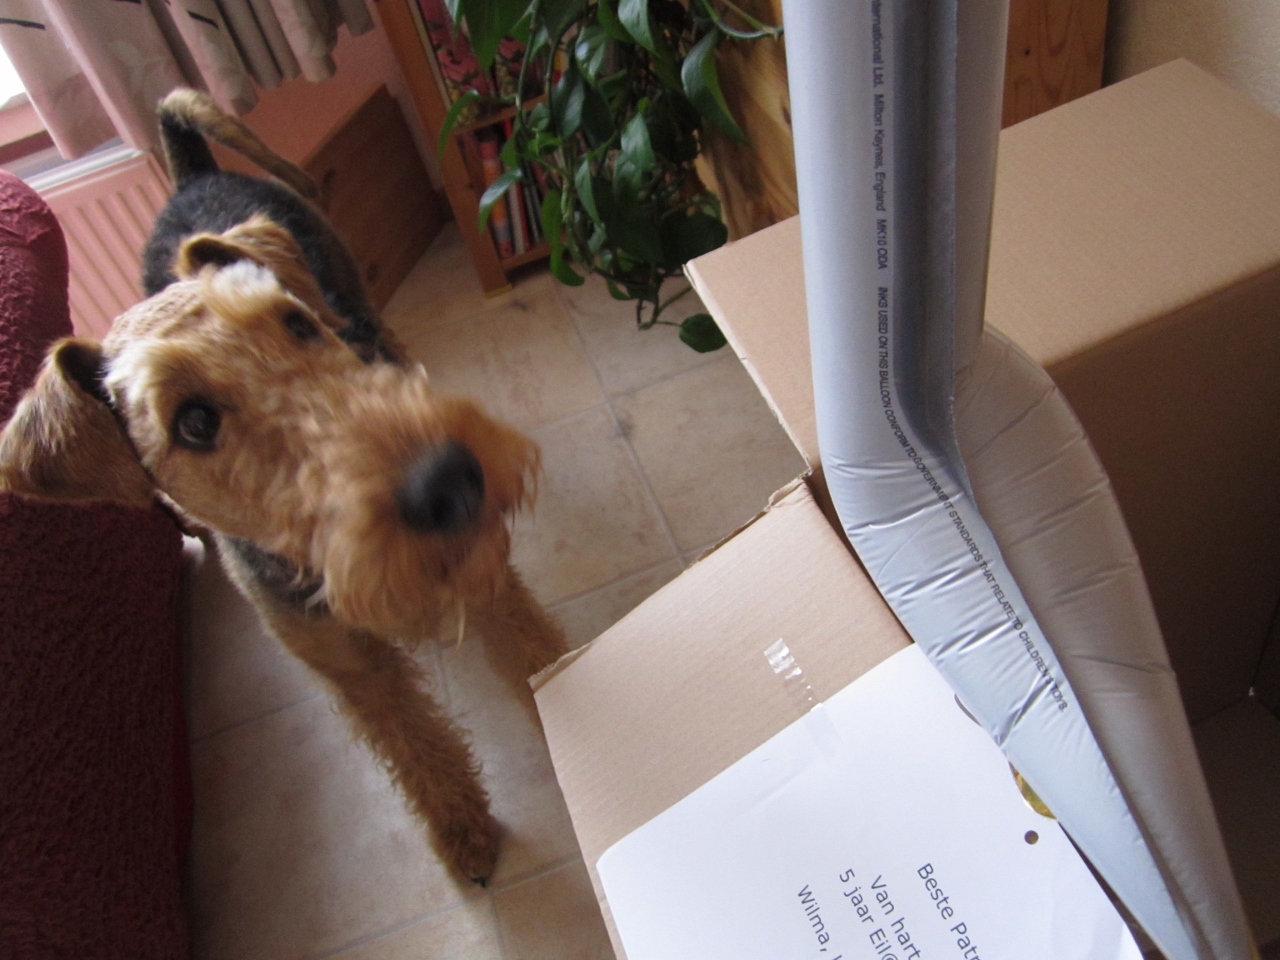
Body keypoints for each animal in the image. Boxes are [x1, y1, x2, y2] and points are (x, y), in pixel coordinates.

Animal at [0, 90, 567, 885]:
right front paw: (464, 833)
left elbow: (535, 657)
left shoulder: (481, 576)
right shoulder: (348, 668)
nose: (452, 479)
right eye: (193, 421)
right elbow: (414, 748)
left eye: (294, 323)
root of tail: (191, 175)